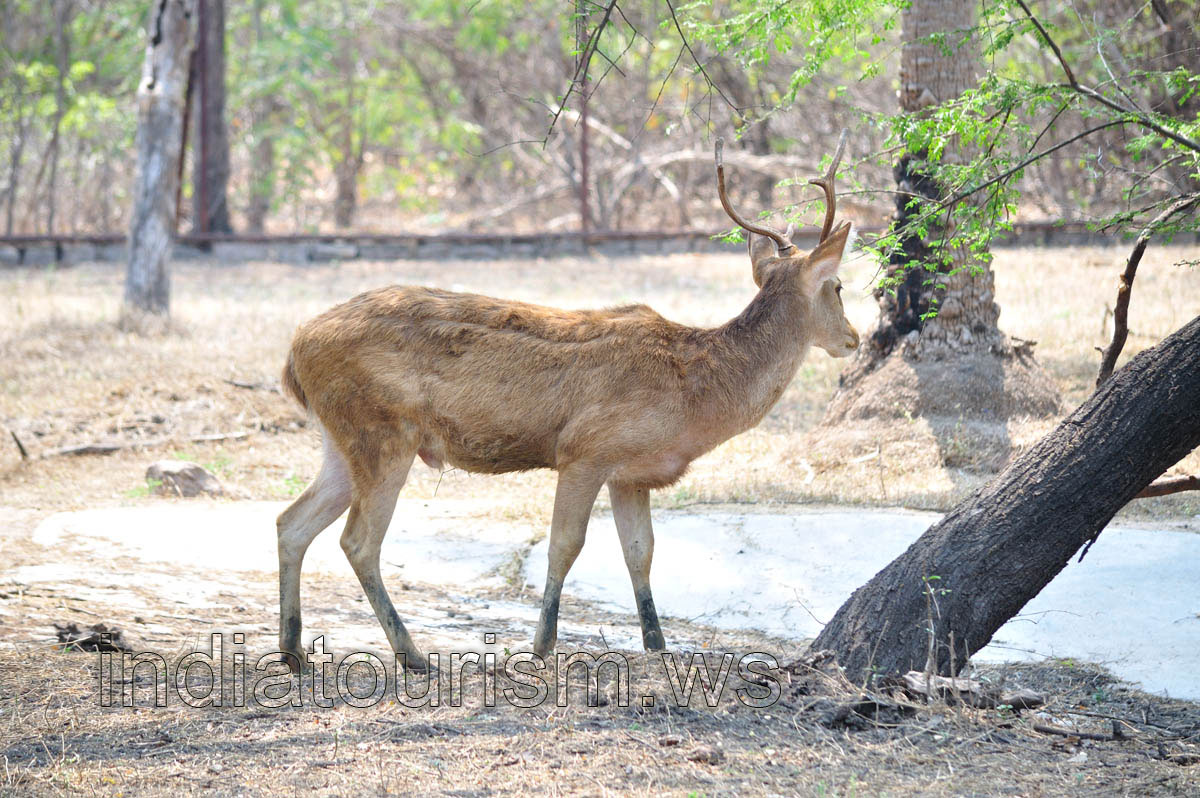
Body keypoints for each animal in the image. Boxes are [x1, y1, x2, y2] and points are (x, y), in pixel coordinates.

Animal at [274, 133, 859, 672]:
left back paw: (294, 650)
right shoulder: (585, 450)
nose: (853, 337)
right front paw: (540, 647)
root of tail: (295, 351)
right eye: (838, 286)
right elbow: (565, 545)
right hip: (383, 430)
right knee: (358, 540)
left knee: (291, 522)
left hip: (341, 439)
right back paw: (412, 655)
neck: (695, 396)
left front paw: (657, 646)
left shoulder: (632, 473)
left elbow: (641, 553)